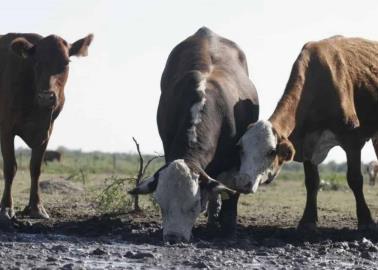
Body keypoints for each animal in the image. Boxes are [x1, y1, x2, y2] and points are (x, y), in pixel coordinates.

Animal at [0, 32, 93, 223]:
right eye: (36, 62)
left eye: (66, 63)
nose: (46, 97)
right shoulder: (6, 128)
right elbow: (10, 167)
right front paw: (6, 207)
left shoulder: (46, 132)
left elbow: (36, 168)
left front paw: (36, 208)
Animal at [128, 26, 258, 243]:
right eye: (161, 204)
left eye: (194, 206)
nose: (173, 237)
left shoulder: (235, 161)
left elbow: (229, 196)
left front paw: (228, 230)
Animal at [238, 34, 378, 231]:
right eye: (241, 149)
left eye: (271, 152)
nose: (242, 182)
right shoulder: (307, 142)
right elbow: (312, 182)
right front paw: (308, 220)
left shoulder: (352, 139)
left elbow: (355, 179)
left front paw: (366, 220)